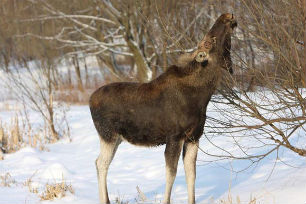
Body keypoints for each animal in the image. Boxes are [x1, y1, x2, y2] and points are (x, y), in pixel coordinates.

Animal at [89, 13, 238, 204]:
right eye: (210, 40)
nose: (227, 16)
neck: (203, 94)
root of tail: (90, 100)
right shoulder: (174, 137)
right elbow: (171, 174)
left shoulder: (194, 137)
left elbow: (191, 174)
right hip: (108, 135)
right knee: (101, 164)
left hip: (116, 139)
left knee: (97, 162)